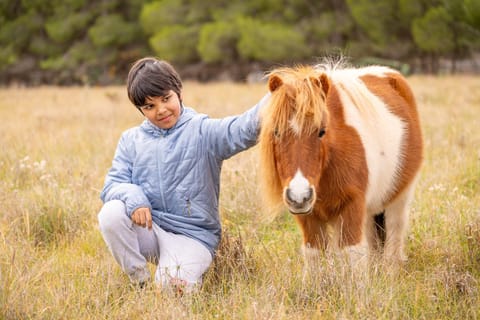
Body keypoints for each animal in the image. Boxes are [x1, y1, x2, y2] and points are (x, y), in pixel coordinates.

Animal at [258, 63, 424, 264]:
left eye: (321, 131)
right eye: (276, 132)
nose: (299, 196)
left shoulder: (351, 207)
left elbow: (352, 253)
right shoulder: (310, 218)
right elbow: (315, 255)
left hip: (399, 199)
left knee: (393, 241)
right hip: (369, 212)